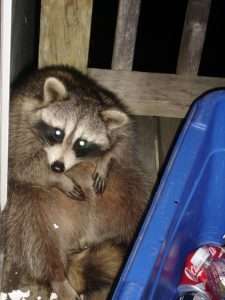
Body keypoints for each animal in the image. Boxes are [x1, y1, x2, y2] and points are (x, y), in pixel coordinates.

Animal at [2, 66, 151, 300]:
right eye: (57, 133)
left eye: (81, 143)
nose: (57, 168)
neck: (82, 94)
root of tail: (83, 234)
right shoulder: (17, 124)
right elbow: (20, 164)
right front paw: (58, 179)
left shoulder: (114, 110)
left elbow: (123, 145)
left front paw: (106, 158)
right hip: (31, 203)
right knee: (33, 229)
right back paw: (57, 277)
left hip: (118, 187)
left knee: (133, 194)